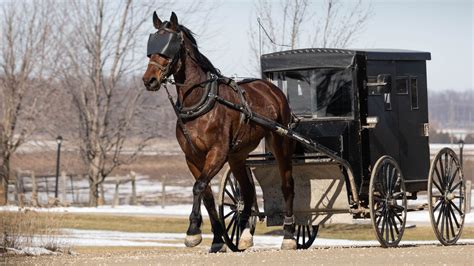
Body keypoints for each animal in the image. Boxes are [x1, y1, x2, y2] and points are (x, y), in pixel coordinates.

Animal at [141, 12, 296, 252]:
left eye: (170, 48)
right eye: (151, 47)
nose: (149, 80)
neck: (201, 101)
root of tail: (271, 88)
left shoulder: (217, 152)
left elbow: (198, 187)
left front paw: (193, 231)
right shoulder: (193, 157)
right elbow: (207, 195)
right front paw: (216, 240)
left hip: (280, 142)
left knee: (287, 184)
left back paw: (288, 235)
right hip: (238, 156)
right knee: (247, 191)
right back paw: (244, 234)